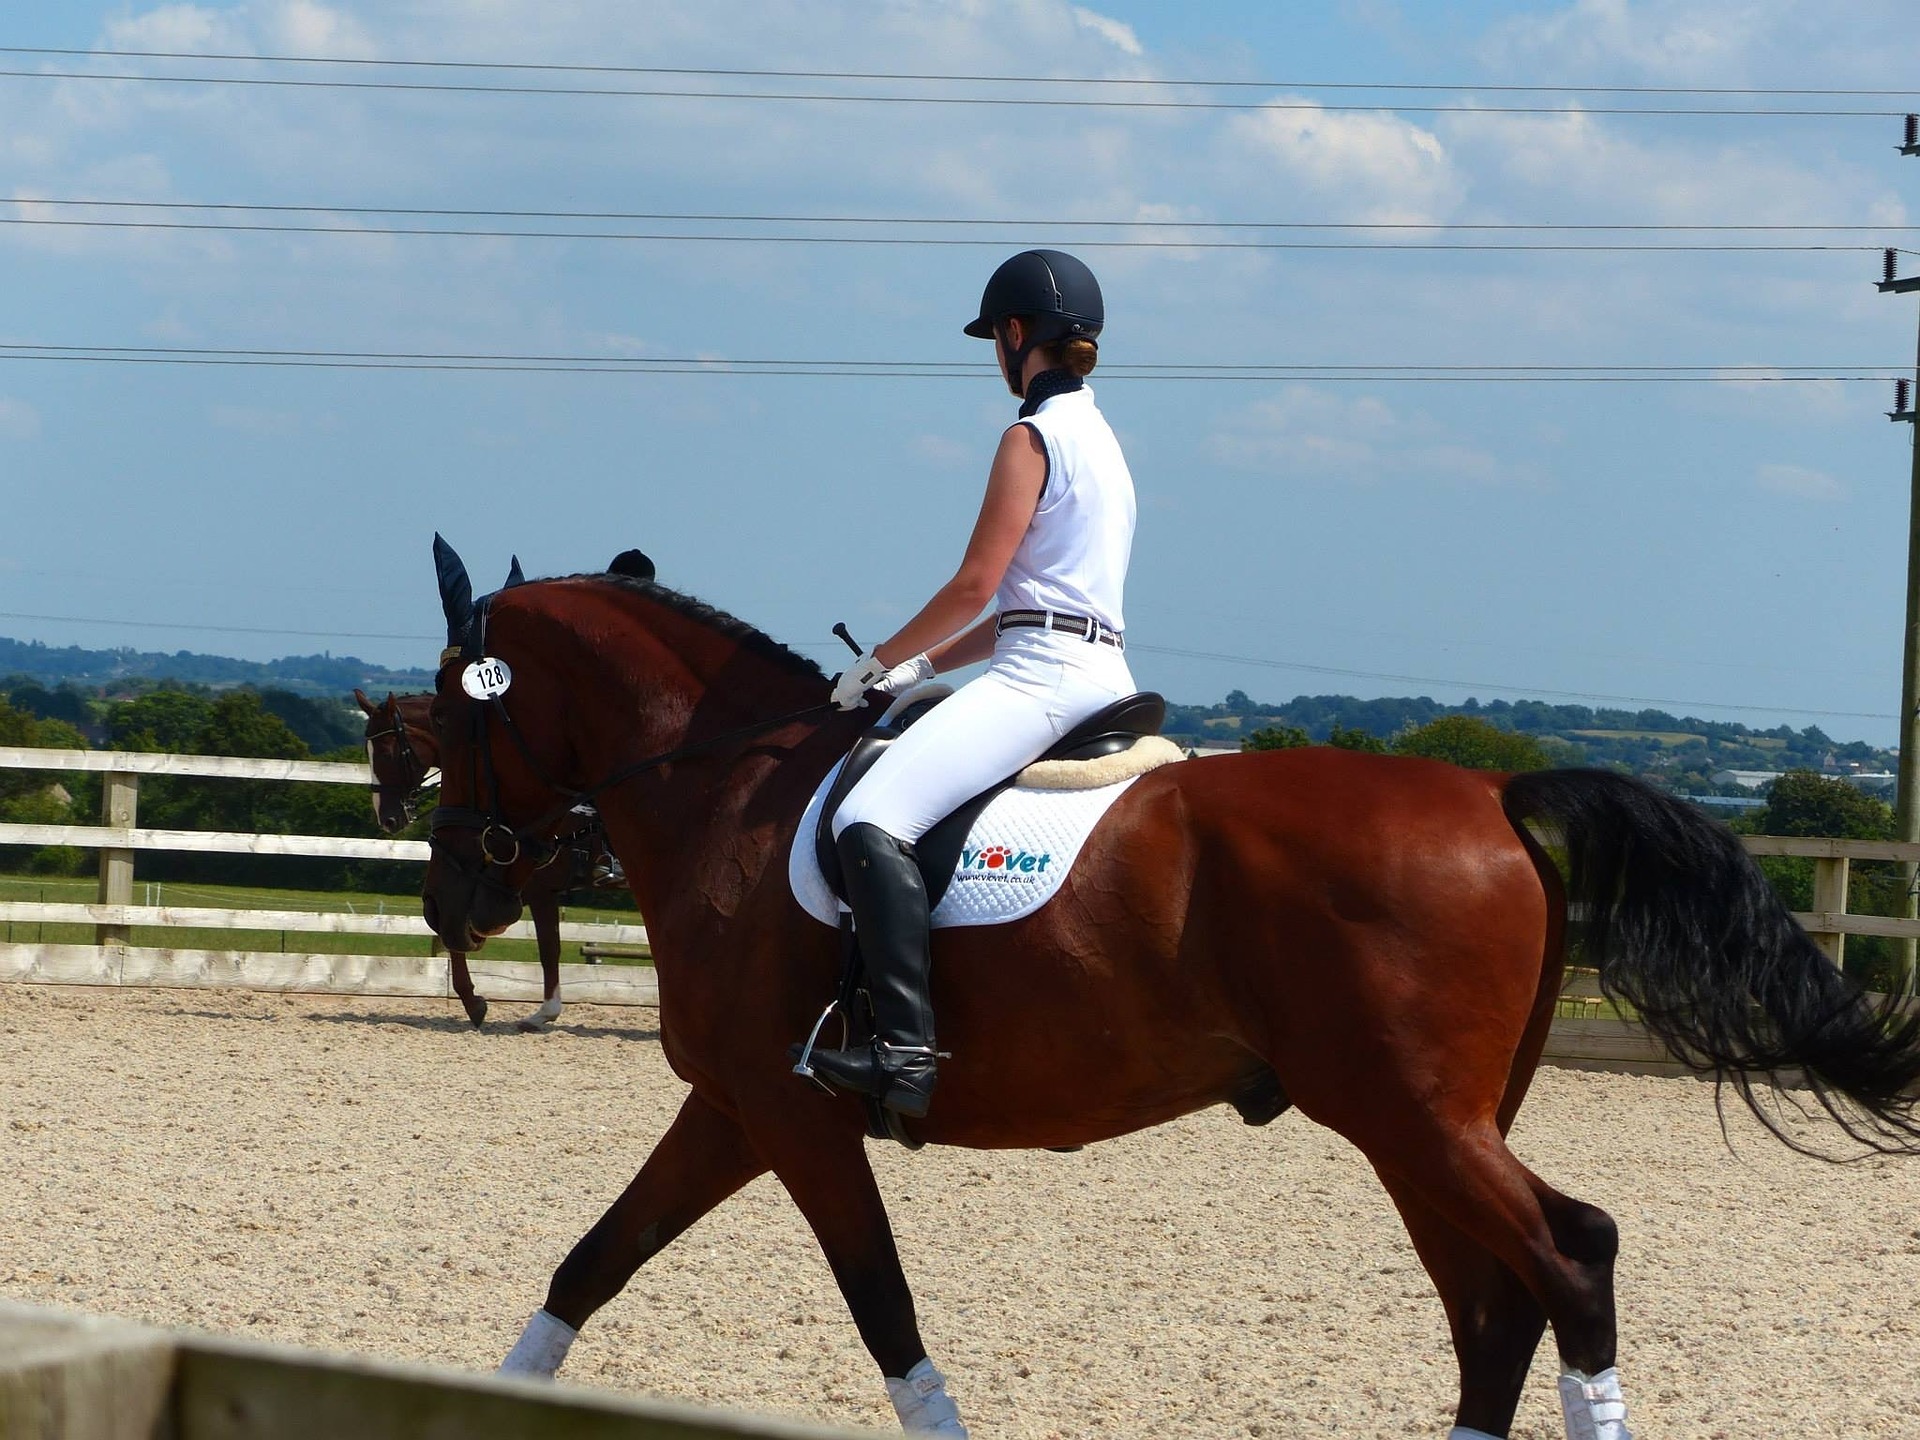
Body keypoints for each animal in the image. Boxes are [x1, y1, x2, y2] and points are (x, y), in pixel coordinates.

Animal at [355, 688, 618, 1031]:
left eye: (386, 753)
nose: (386, 818)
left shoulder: (536, 889)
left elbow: (548, 948)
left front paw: (542, 1013)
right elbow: (452, 929)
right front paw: (473, 1001)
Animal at [416, 551, 1920, 1440]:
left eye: (450, 706)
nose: (450, 902)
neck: (730, 790)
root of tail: (1494, 791)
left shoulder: (796, 1120)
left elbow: (886, 1315)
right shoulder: (737, 1110)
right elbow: (589, 1265)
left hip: (1412, 1116)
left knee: (1571, 1257)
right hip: (1416, 1131)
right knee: (1493, 1305)